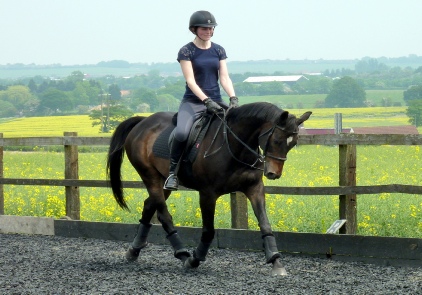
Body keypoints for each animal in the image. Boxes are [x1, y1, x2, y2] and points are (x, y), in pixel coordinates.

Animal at [107, 103, 312, 276]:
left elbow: (265, 224)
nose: (273, 173)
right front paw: (195, 259)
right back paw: (183, 254)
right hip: (150, 177)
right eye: (277, 140)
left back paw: (134, 250)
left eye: (293, 143)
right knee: (163, 214)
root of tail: (143, 122)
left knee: (149, 205)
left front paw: (276, 261)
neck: (234, 146)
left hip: (162, 182)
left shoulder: (254, 188)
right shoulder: (207, 194)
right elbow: (208, 230)